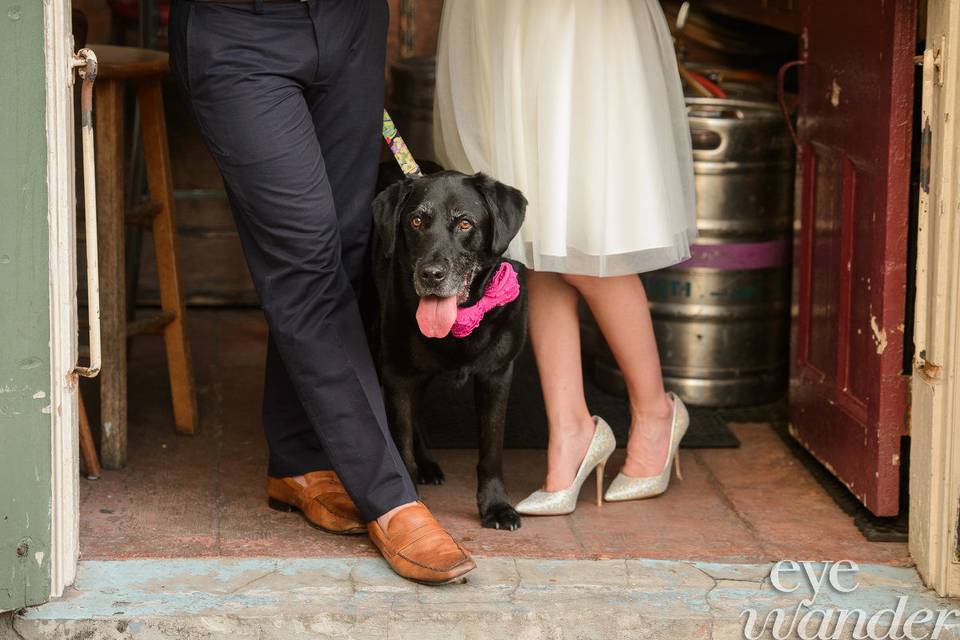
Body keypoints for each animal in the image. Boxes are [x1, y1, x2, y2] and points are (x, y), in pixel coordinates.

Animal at [370, 170, 532, 528]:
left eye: (465, 224)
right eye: (416, 221)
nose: (431, 274)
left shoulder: (497, 375)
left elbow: (491, 448)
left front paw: (496, 506)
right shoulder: (398, 373)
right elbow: (401, 444)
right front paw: (410, 501)